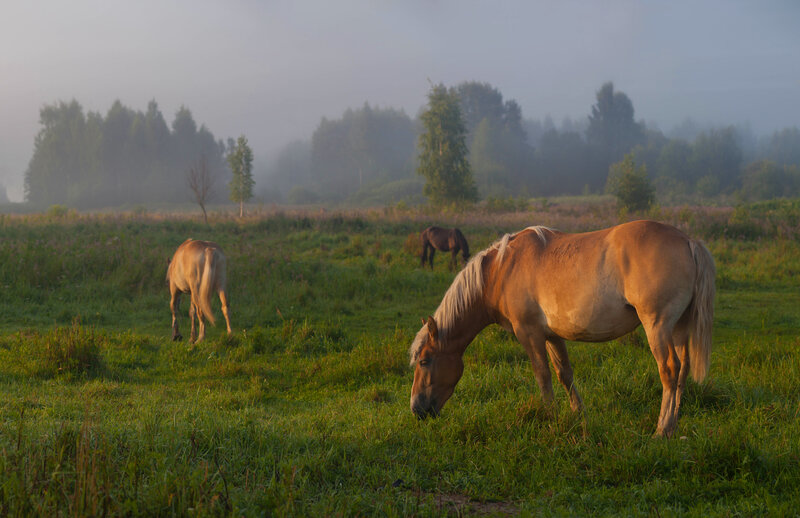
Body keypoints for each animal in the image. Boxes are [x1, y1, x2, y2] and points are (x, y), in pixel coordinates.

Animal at [409, 220, 715, 438]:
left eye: (424, 361)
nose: (416, 409)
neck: (502, 269)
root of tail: (689, 242)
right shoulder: (553, 336)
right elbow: (564, 374)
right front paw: (579, 415)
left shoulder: (529, 335)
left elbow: (542, 375)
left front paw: (549, 416)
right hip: (678, 329)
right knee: (683, 372)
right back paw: (674, 425)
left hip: (658, 327)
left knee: (669, 371)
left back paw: (662, 429)